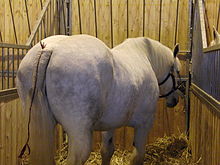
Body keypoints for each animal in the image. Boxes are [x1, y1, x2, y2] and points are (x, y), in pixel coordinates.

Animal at [16, 34, 180, 164]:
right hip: (79, 134)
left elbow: (107, 151)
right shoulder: (144, 125)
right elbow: (137, 157)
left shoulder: (109, 125)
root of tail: (49, 49)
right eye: (177, 71)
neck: (144, 56)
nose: (175, 100)